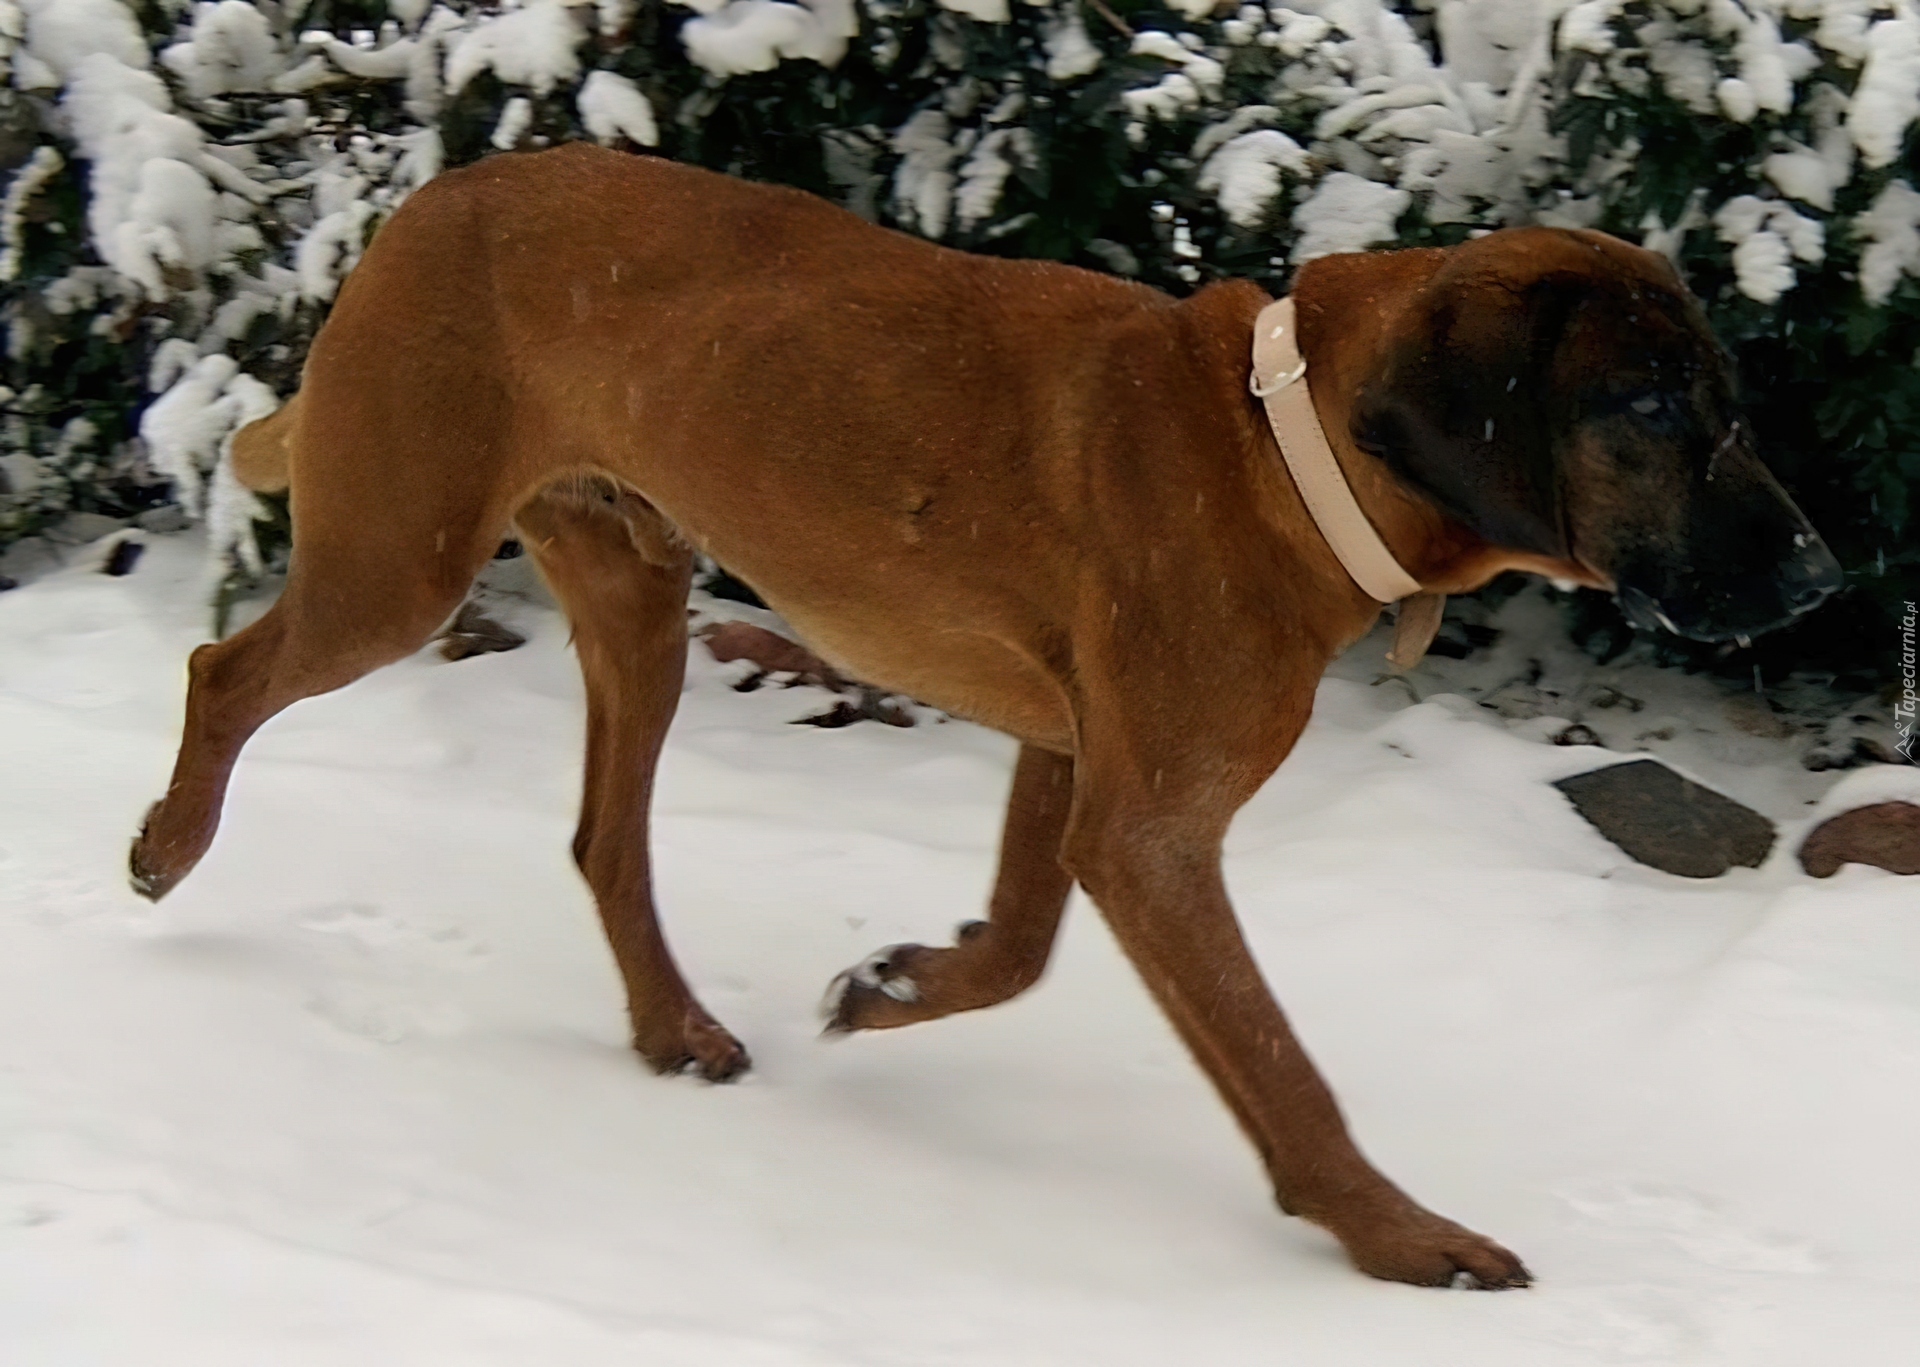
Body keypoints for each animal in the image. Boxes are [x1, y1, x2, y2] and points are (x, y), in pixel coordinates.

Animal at [131, 144, 1842, 1288]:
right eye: (1649, 408)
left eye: (1721, 403)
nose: (1825, 573)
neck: (1278, 446)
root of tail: (432, 198)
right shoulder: (1152, 826)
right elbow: (1281, 1060)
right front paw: (1398, 1232)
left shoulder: (1075, 754)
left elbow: (1017, 947)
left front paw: (895, 981)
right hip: (403, 556)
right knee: (227, 674)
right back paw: (166, 845)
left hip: (631, 593)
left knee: (602, 836)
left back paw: (676, 1026)